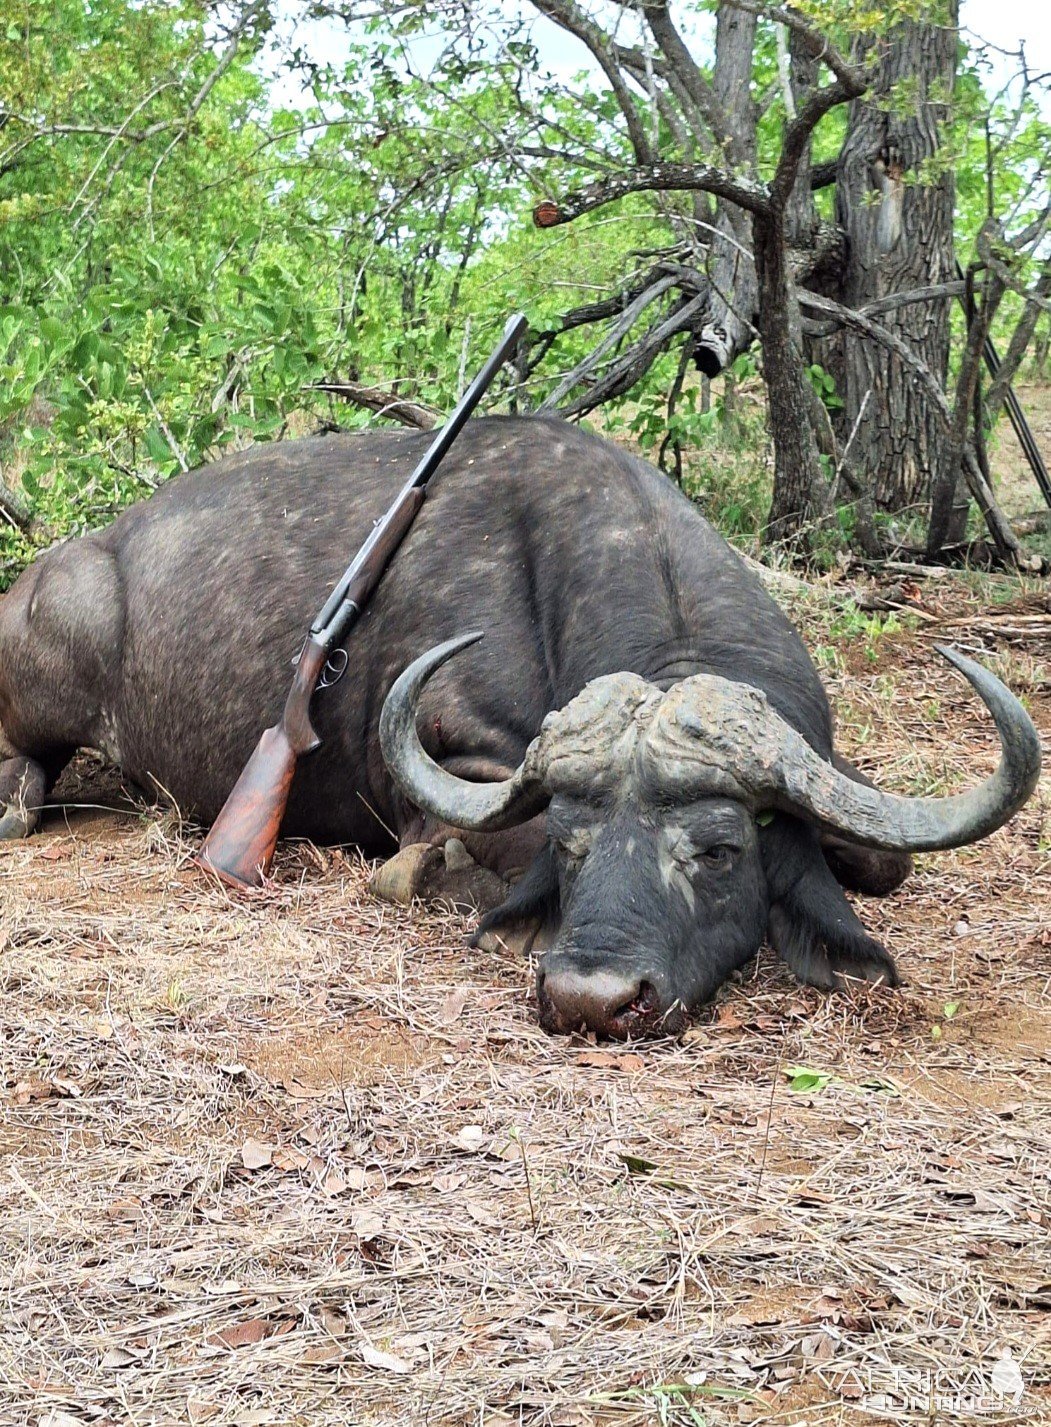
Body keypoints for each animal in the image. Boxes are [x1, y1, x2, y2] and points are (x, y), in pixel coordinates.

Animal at [0, 416, 1038, 1038]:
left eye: (718, 849)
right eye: (572, 843)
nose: (592, 999)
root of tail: (57, 566)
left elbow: (882, 859)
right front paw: (439, 872)